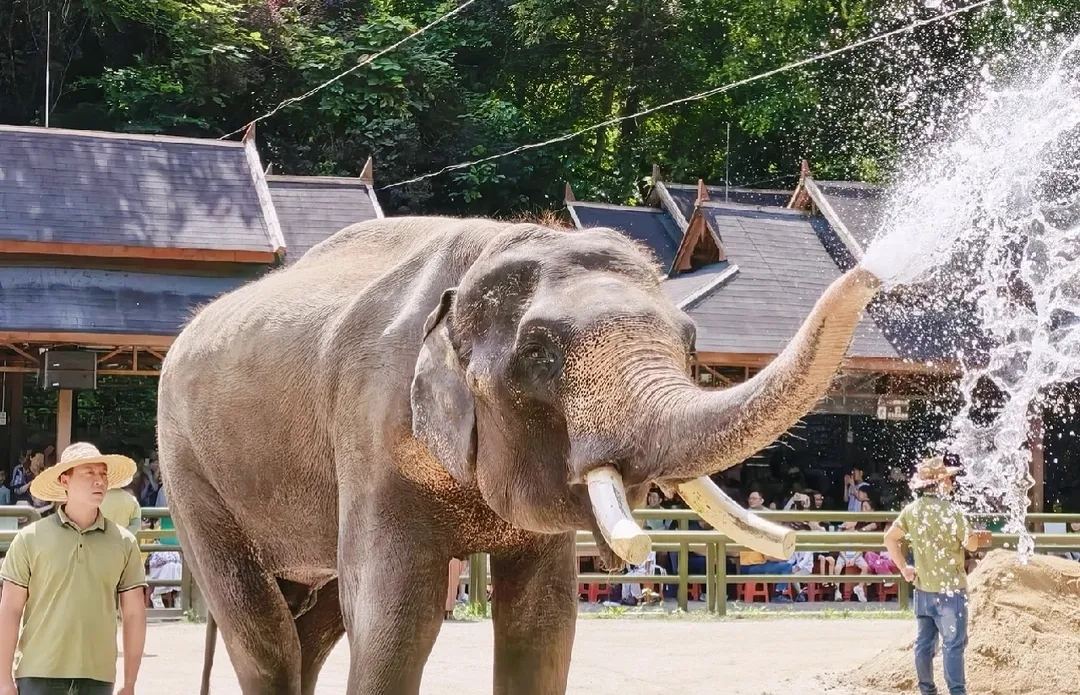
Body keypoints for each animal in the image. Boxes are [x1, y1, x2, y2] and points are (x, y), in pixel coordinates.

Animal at [156, 216, 881, 694]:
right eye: (538, 352)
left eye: (693, 343)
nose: (872, 273)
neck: (493, 244)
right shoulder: (370, 427)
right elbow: (396, 615)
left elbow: (544, 620)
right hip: (188, 468)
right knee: (264, 631)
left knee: (316, 624)